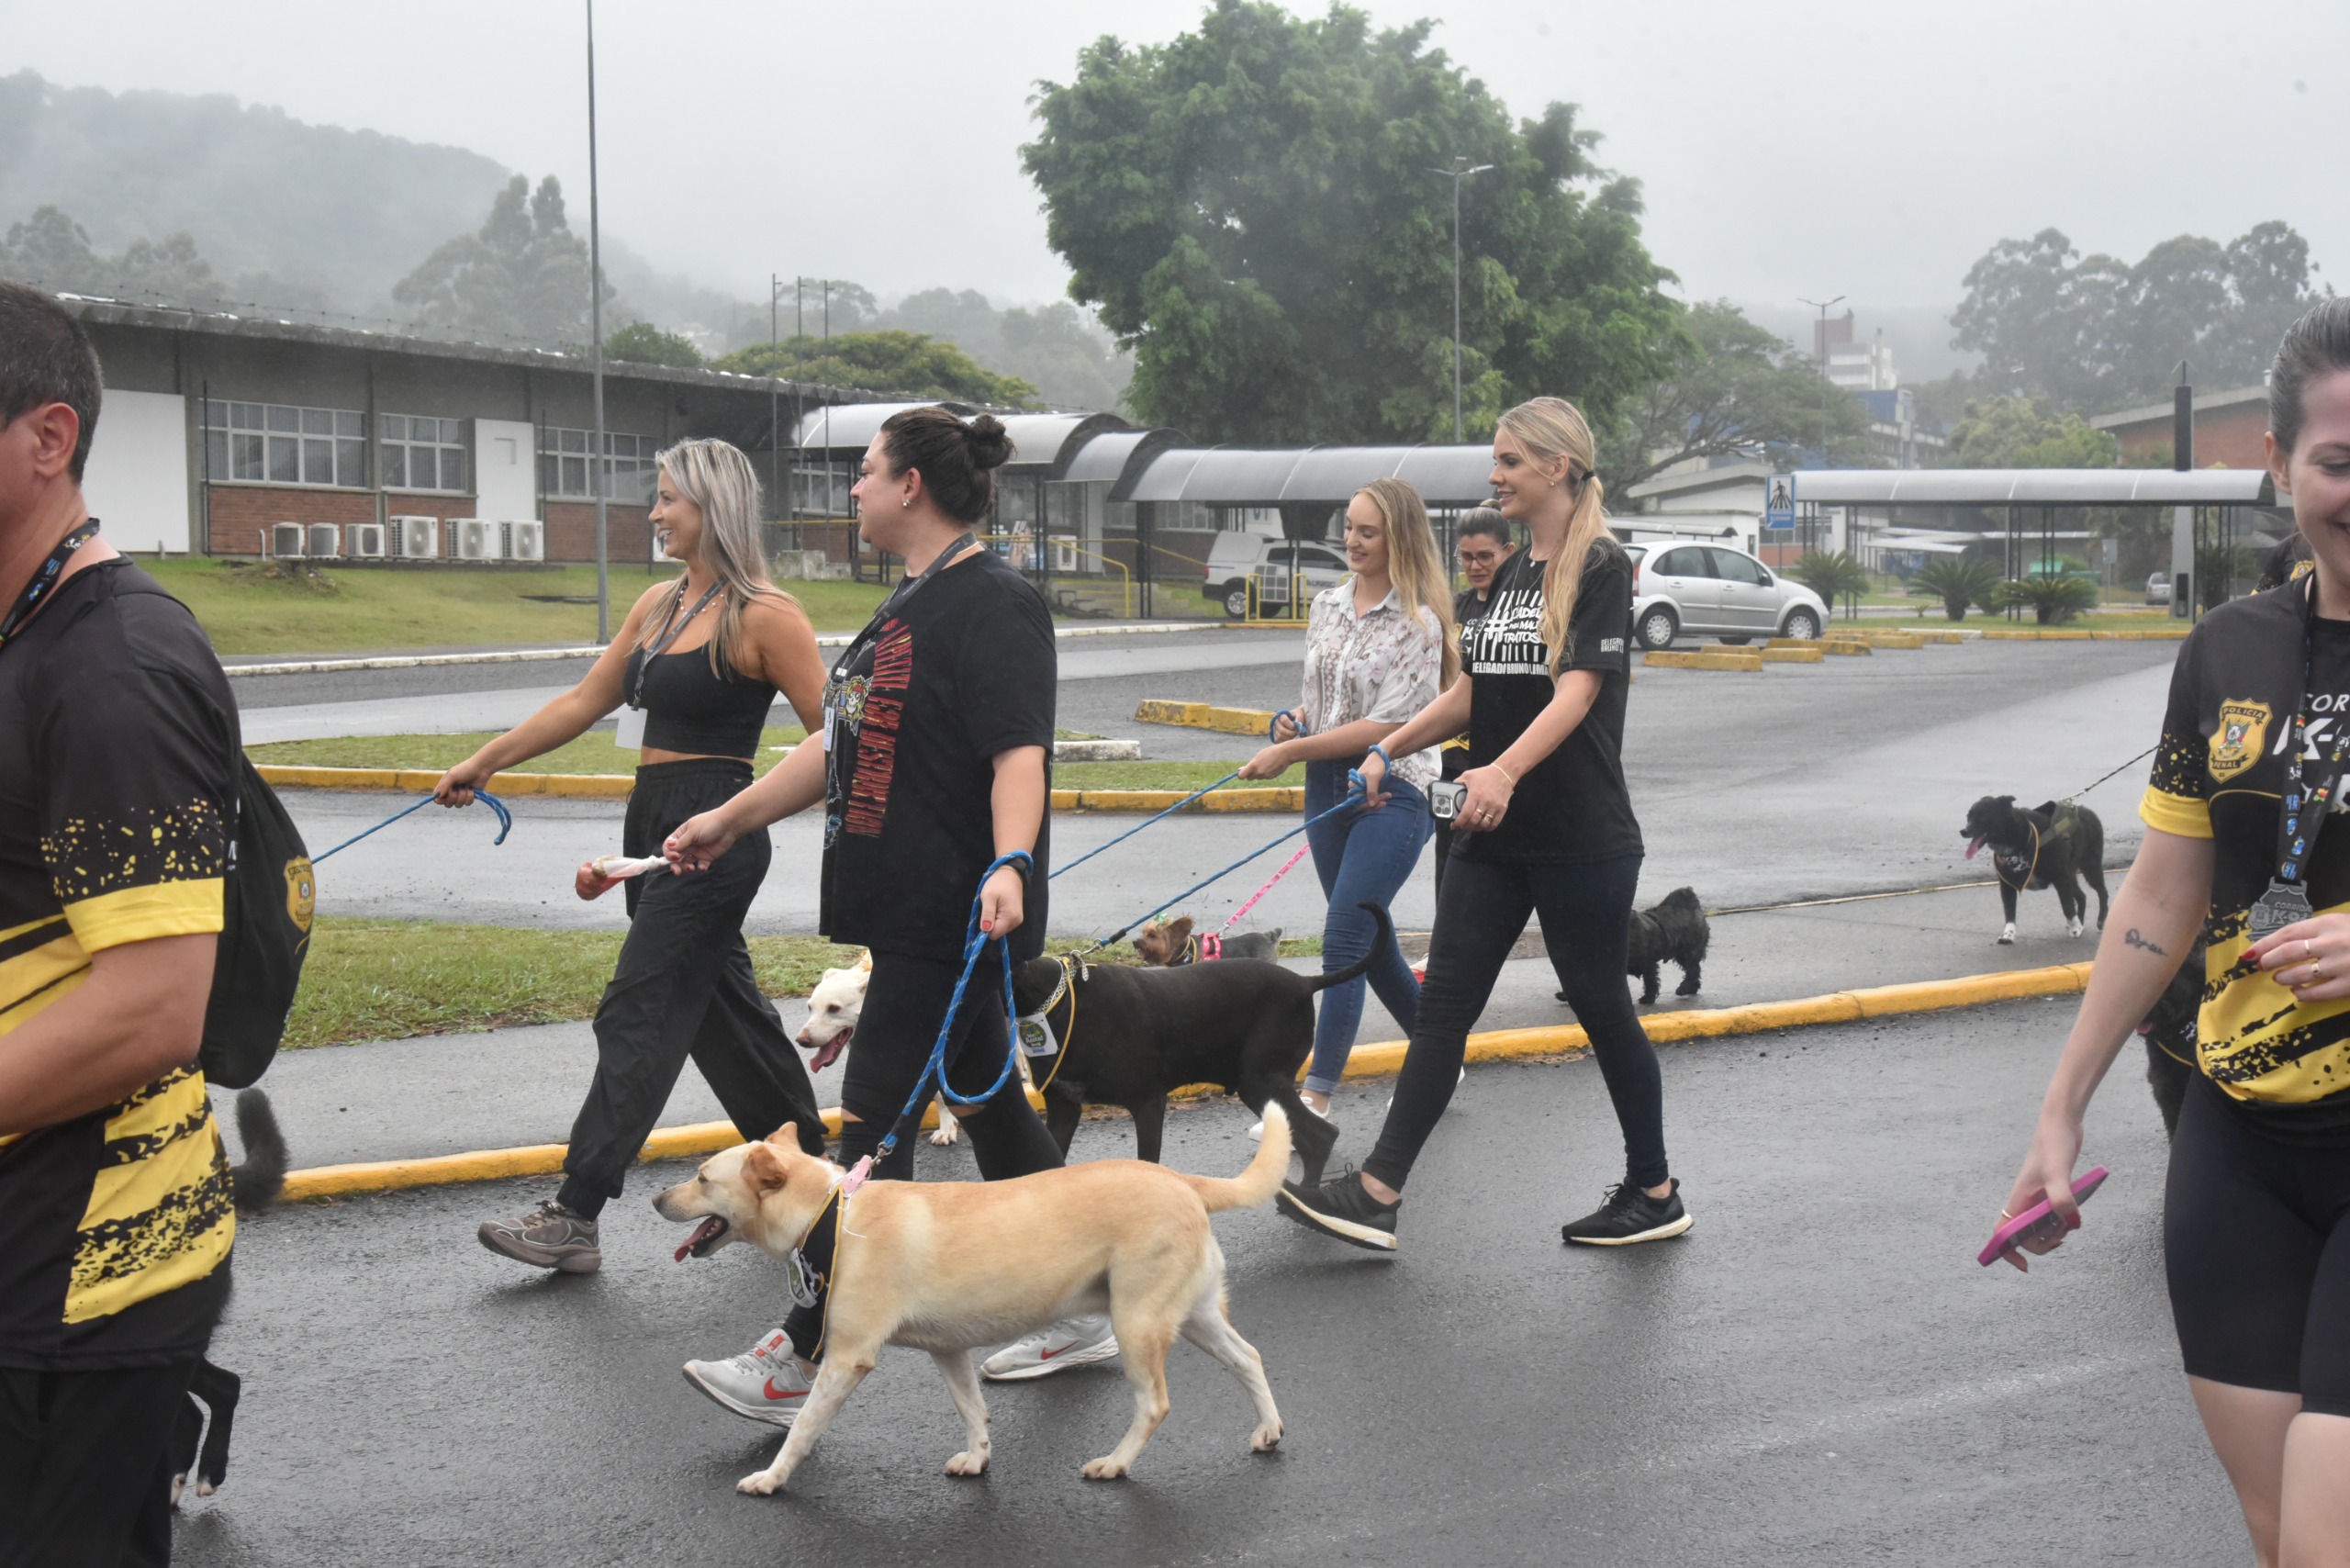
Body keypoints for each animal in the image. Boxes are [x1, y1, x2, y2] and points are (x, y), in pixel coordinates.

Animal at [653, 1109, 1291, 1491]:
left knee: (1154, 1404)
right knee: (1251, 1358)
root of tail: (1181, 1180)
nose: (657, 1199)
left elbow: (804, 1426)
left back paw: (1116, 1463)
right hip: (1193, 1316)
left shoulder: (847, 1359)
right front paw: (978, 1457)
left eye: (704, 1177)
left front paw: (772, 1477)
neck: (832, 1212)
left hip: (1138, 1323)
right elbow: (972, 1409)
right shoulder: (949, 1351)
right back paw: (1268, 1430)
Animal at [1960, 796, 2110, 943]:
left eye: (1983, 816)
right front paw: (2008, 934)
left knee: (2102, 892)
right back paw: (2081, 923)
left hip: (2090, 866)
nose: (1963, 831)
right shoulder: (2007, 884)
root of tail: (2088, 811)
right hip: (2071, 874)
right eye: (1968, 816)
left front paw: (2074, 927)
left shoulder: (2060, 876)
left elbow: (2067, 905)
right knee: (2082, 896)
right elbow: (2009, 911)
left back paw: (2100, 920)